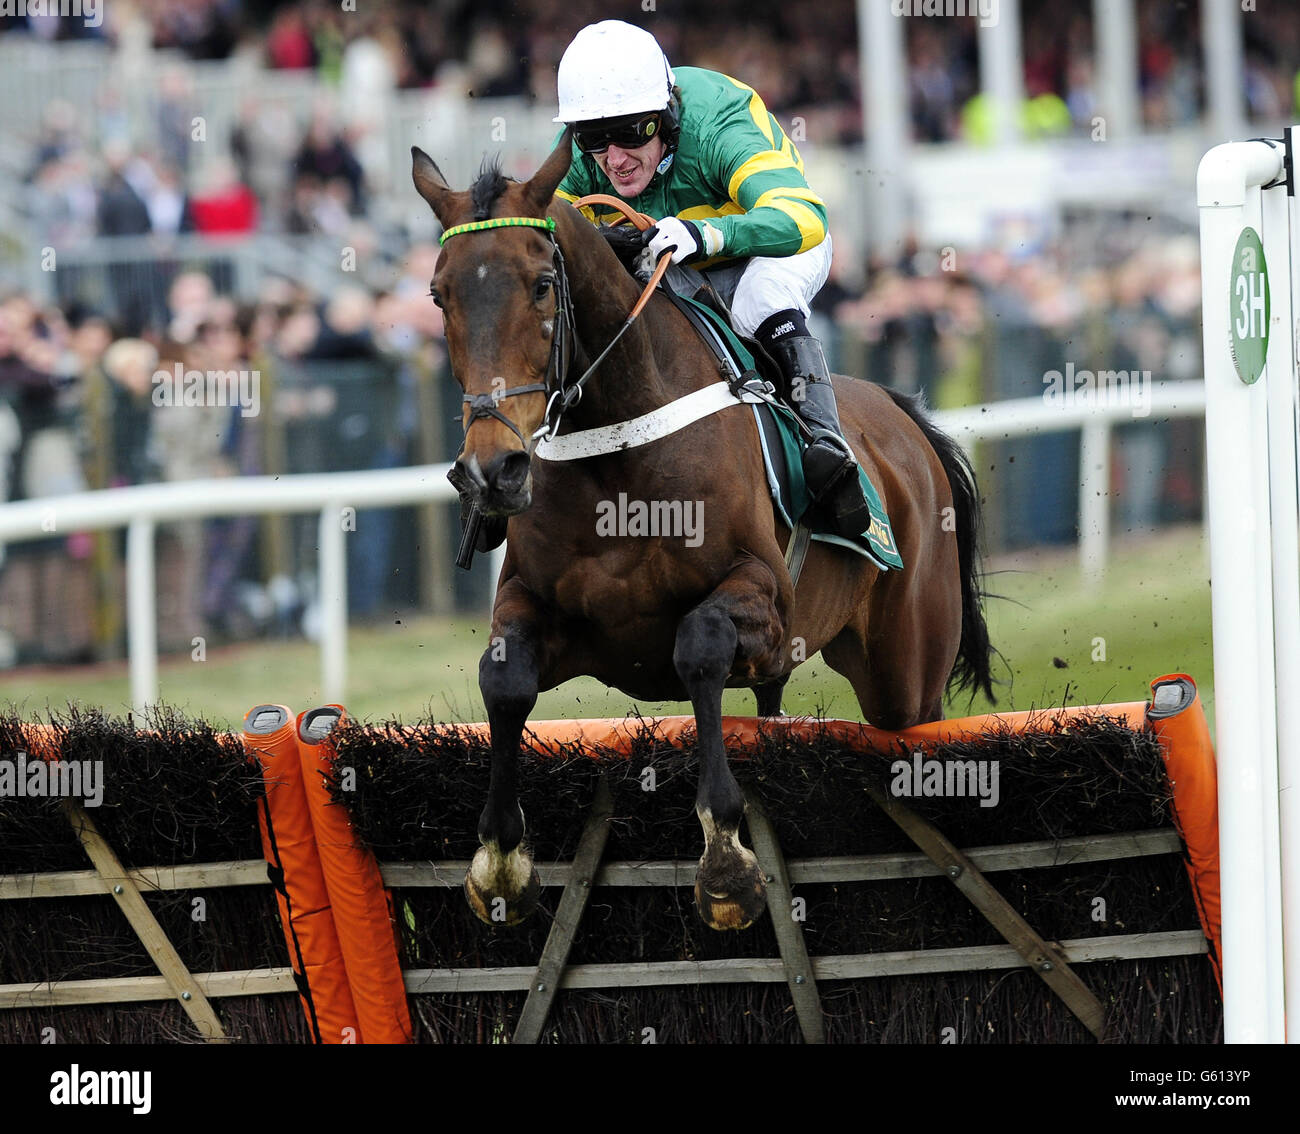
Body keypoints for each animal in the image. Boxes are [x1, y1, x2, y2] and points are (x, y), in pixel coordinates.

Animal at [410, 132, 987, 931]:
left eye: (542, 285)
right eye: (440, 294)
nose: (492, 470)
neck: (618, 447)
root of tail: (903, 415)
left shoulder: (764, 600)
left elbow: (700, 645)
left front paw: (725, 864)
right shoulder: (547, 610)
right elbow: (503, 679)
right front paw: (499, 862)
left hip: (906, 673)